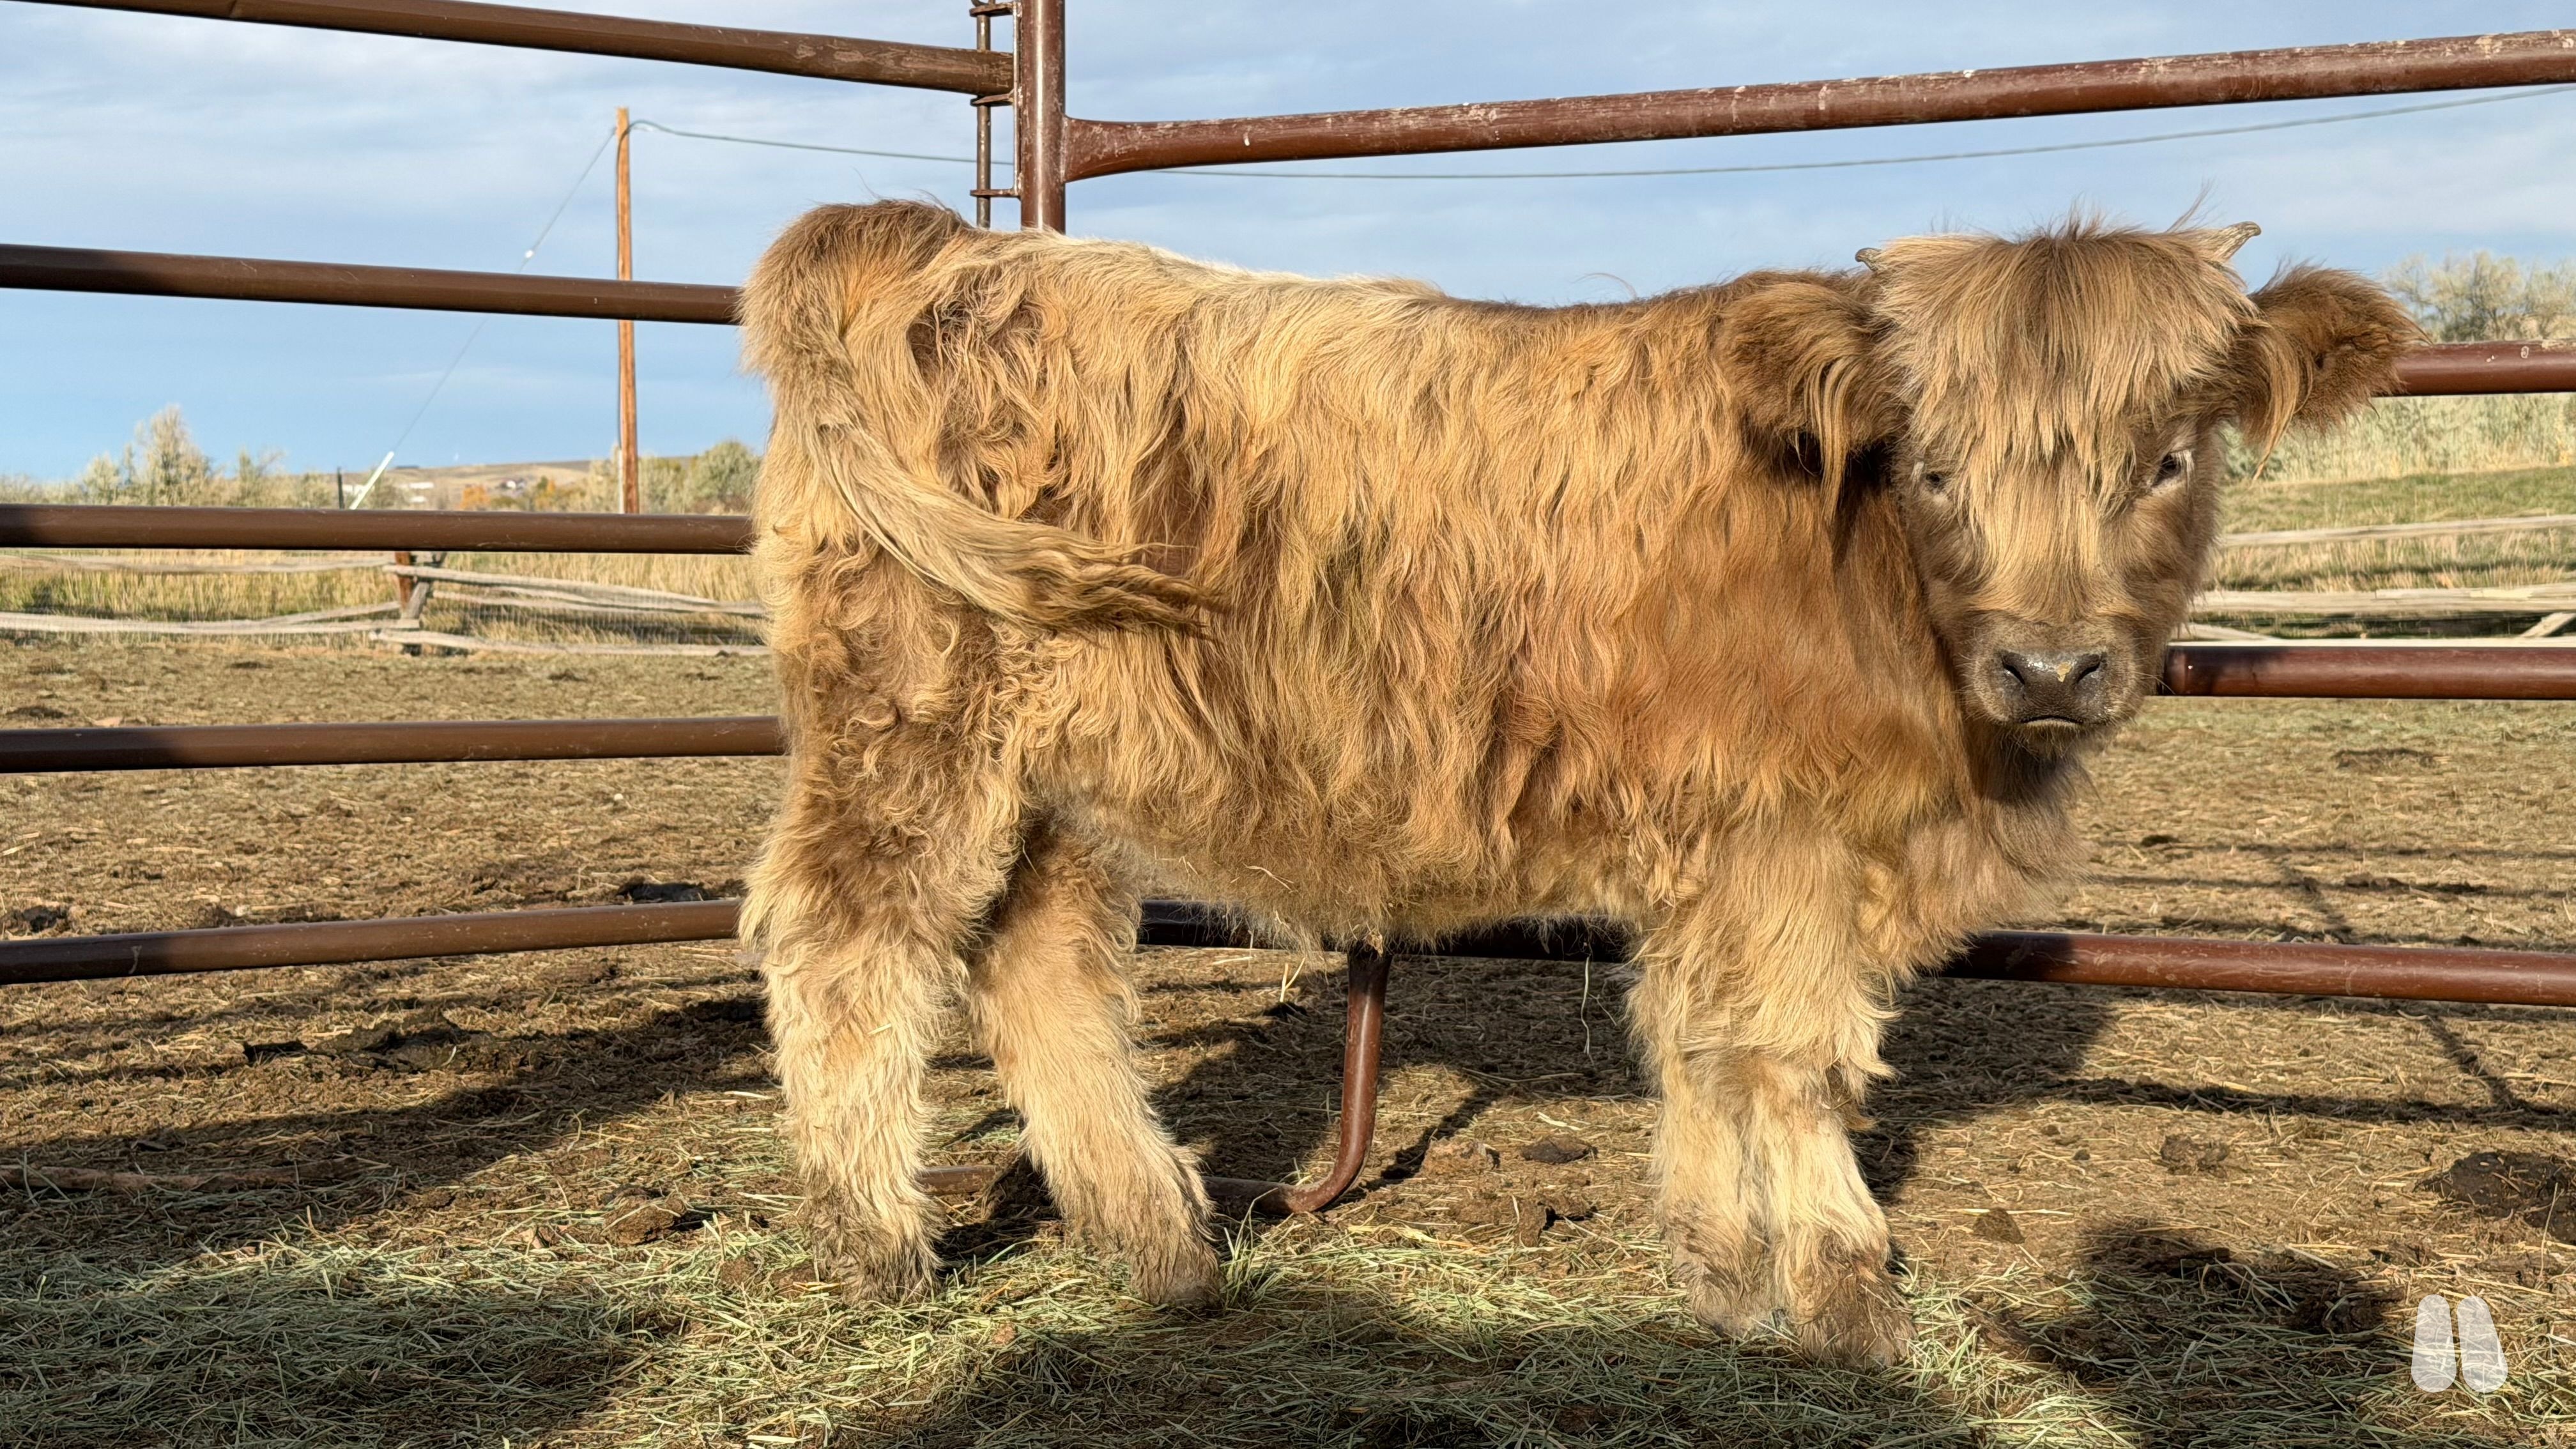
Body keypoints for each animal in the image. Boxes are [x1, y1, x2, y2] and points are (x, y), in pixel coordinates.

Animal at [736, 200, 2413, 1365]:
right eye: (1936, 467)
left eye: (2170, 460)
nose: (2054, 669)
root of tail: (941, 240)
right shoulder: (1781, 841)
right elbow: (1792, 1061)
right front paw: (1845, 1295)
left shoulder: (1713, 853)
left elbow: (1699, 1049)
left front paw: (1723, 1272)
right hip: (912, 729)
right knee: (851, 943)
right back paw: (878, 1242)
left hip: (1056, 778)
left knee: (1043, 969)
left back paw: (1162, 1245)